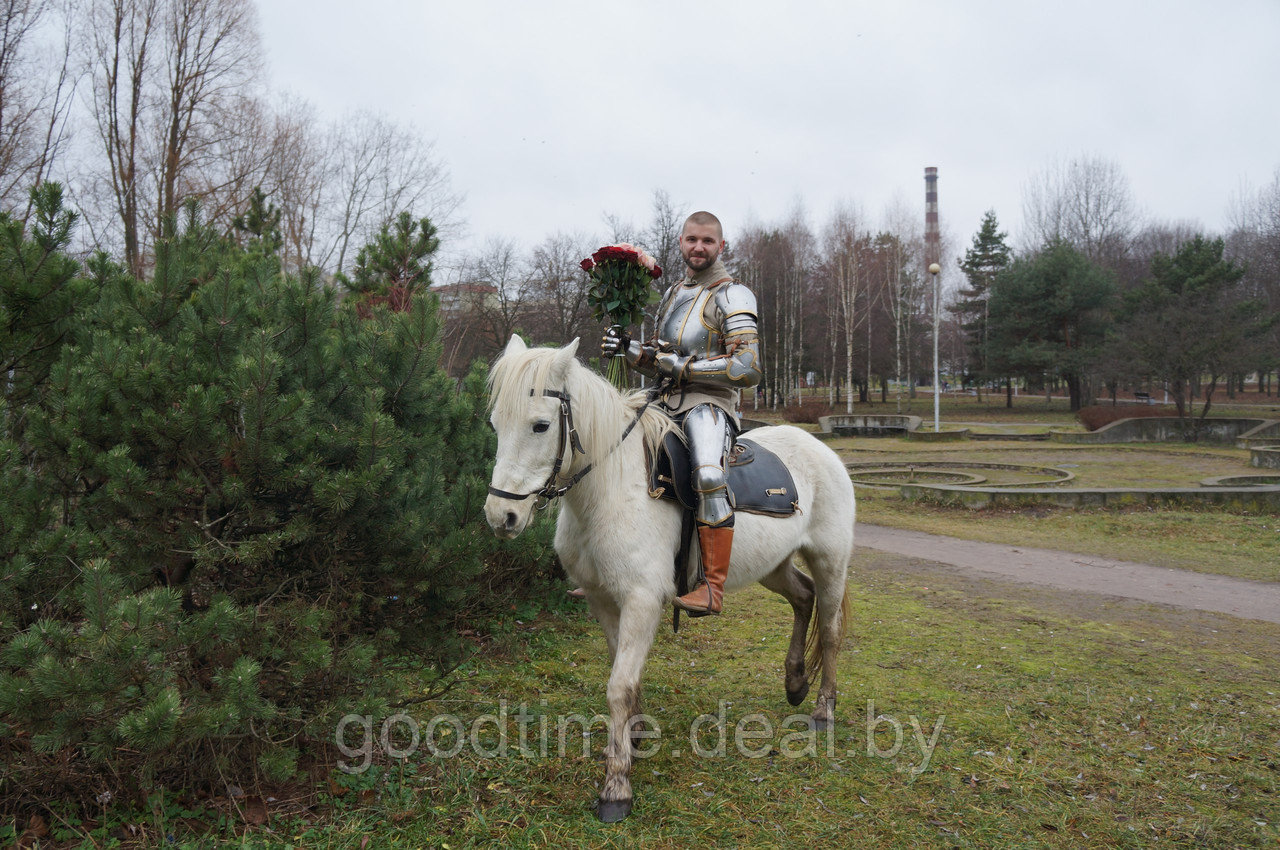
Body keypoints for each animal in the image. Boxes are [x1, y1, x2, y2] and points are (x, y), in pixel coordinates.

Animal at [483, 335, 855, 819]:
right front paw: (634, 737)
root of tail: (820, 450)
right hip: (772, 566)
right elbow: (623, 673)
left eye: (541, 426)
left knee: (828, 628)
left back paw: (823, 710)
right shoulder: (603, 600)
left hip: (830, 560)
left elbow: (619, 686)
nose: (501, 516)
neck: (611, 489)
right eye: (495, 424)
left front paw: (616, 787)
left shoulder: (642, 601)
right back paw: (795, 683)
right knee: (802, 598)